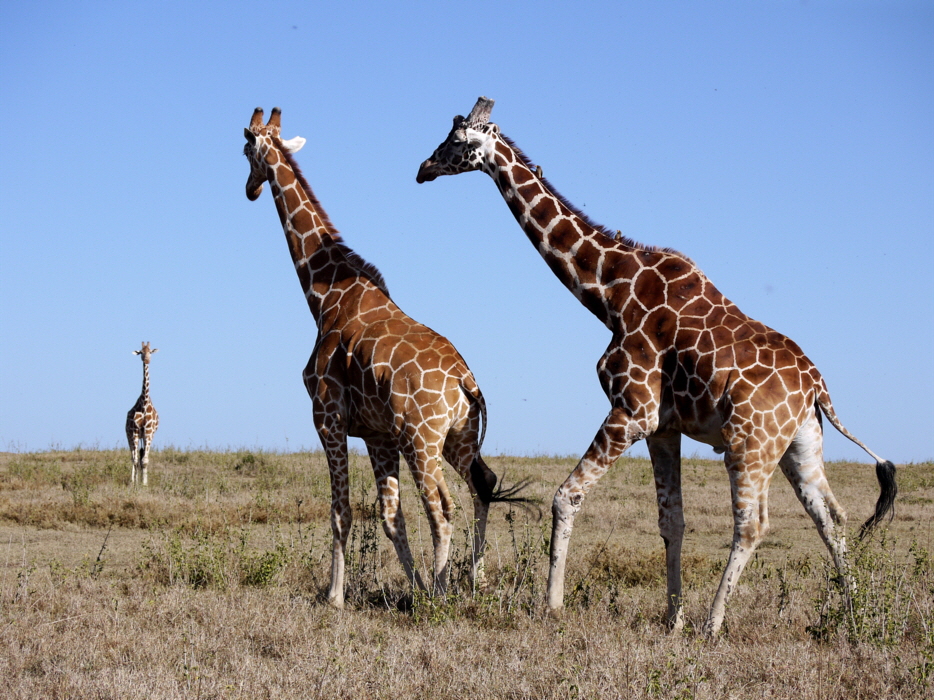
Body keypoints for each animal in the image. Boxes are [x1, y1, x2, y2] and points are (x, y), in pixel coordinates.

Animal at [243, 105, 528, 608]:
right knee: (484, 484)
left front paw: (335, 596)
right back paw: (470, 584)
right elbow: (390, 516)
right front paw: (411, 585)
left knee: (443, 508)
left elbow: (341, 511)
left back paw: (441, 595)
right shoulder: (377, 434)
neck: (324, 299)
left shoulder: (328, 416)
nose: (250, 188)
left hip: (422, 440)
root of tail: (467, 383)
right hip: (458, 438)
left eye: (244, 148)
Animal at [418, 95, 900, 636]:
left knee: (752, 524)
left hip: (750, 442)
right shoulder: (663, 427)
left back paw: (714, 624)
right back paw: (856, 616)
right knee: (830, 517)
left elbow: (566, 497)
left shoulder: (632, 411)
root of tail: (817, 385)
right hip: (800, 442)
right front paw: (672, 618)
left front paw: (552, 604)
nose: (423, 169)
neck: (611, 293)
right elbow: (673, 521)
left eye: (455, 140)